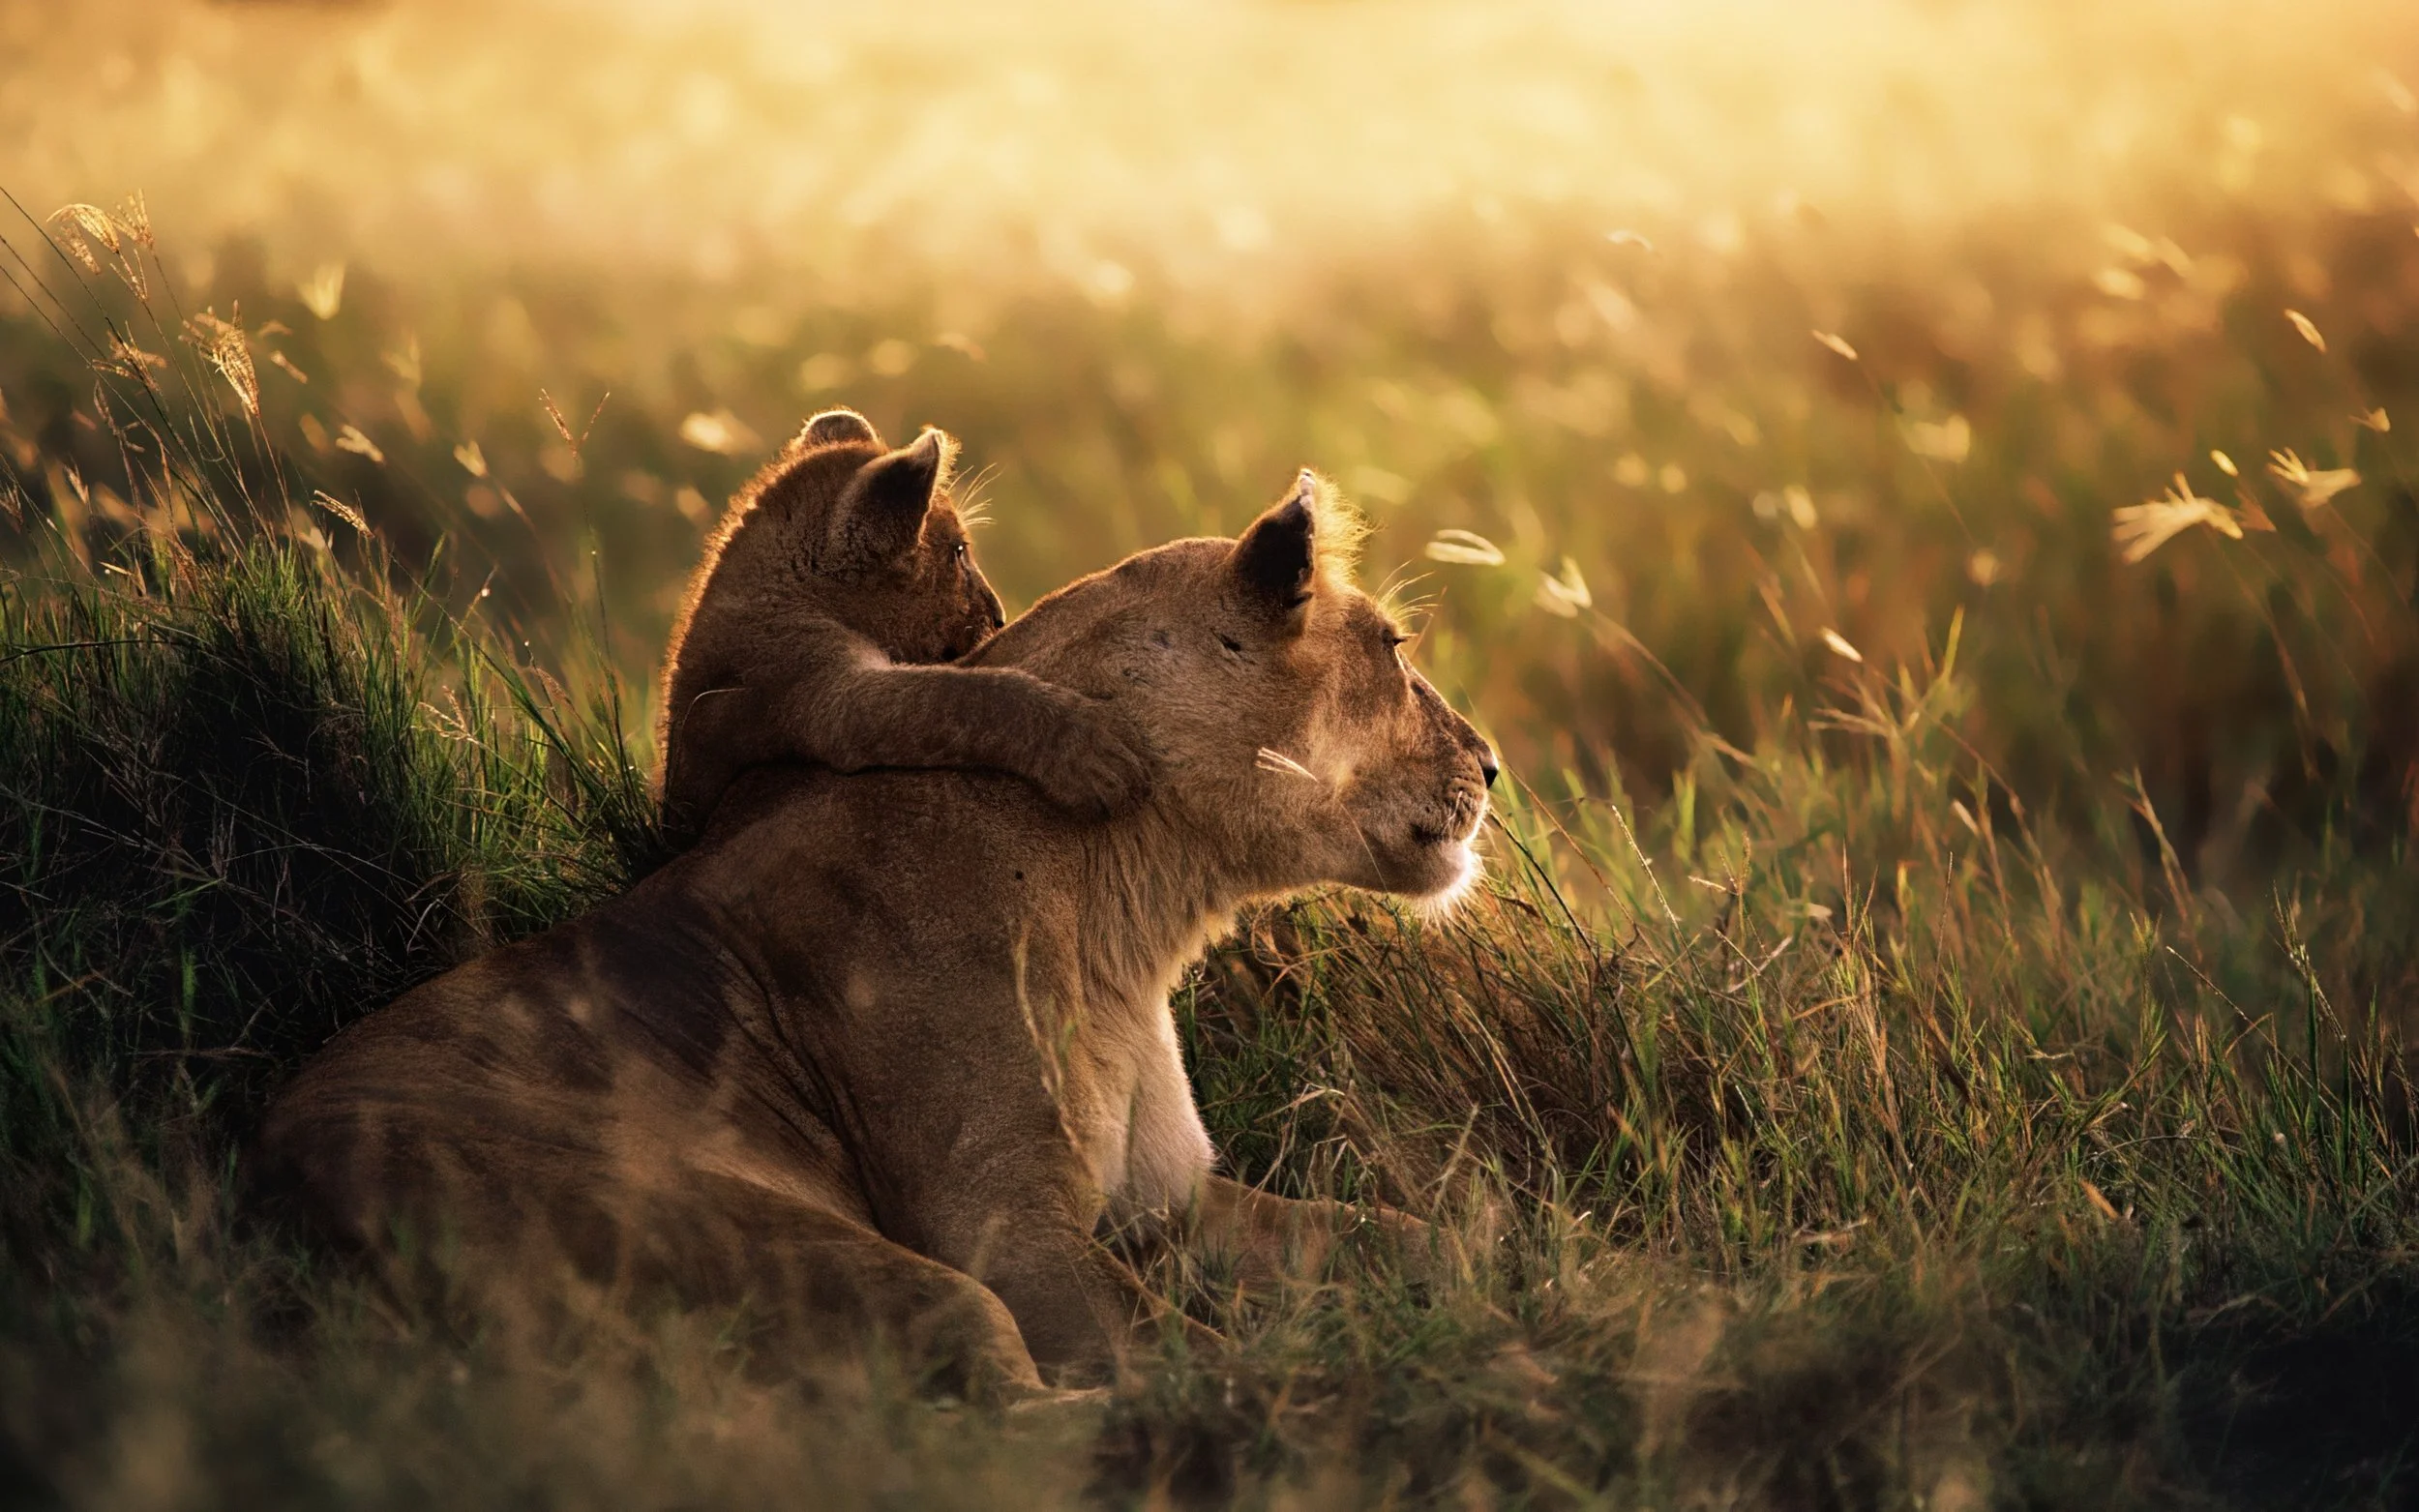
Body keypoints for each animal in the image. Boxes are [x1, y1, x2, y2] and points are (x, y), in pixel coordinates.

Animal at [256, 471, 1498, 1398]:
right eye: (1393, 648)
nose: (1490, 764)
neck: (1134, 909)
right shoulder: (1001, 1226)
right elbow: (1184, 1358)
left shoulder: (1170, 1202)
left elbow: (1410, 1233)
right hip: (810, 1251)